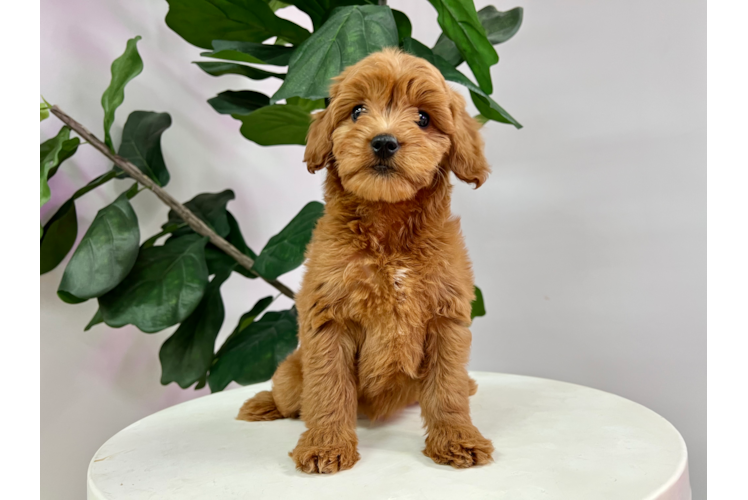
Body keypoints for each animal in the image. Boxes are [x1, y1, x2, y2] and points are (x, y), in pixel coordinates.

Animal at [237, 47, 494, 472]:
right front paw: (326, 445)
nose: (384, 142)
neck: (388, 233)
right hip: (292, 374)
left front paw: (458, 438)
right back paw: (262, 404)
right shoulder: (330, 319)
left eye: (423, 118)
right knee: (290, 397)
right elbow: (329, 388)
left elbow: (447, 389)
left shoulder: (446, 319)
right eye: (358, 111)